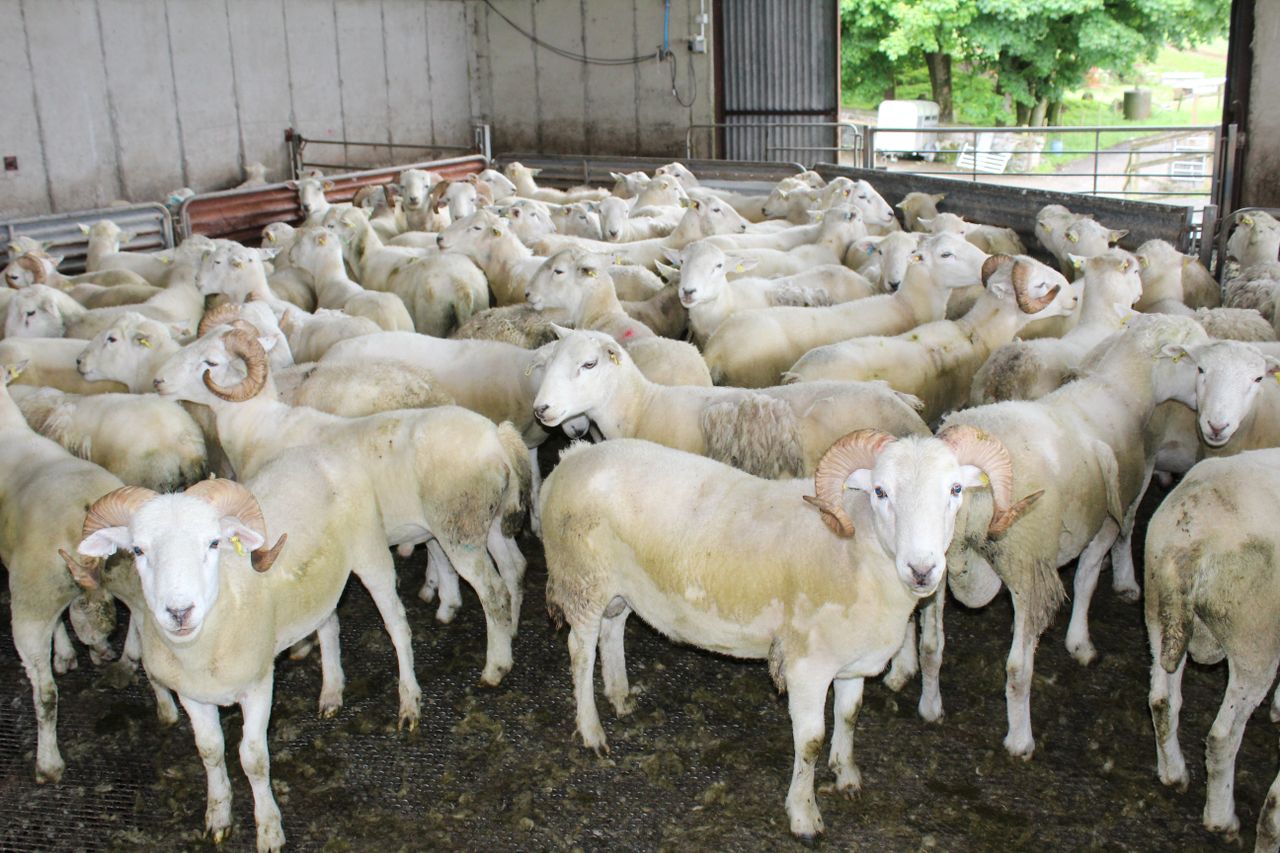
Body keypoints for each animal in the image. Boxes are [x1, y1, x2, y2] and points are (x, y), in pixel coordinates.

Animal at [67, 460, 421, 851]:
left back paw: (409, 703)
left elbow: (253, 759)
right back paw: (331, 691)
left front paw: (269, 830)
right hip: (320, 585)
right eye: (138, 550)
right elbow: (209, 750)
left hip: (371, 554)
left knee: (397, 628)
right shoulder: (192, 696)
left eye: (213, 542)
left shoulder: (258, 686)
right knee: (328, 625)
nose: (179, 612)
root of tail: (314, 451)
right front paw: (218, 817)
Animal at [153, 326, 531, 685]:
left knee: (493, 592)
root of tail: (497, 438)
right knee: (512, 568)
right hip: (489, 521)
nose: (157, 381)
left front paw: (303, 647)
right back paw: (511, 633)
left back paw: (495, 667)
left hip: (459, 529)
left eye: (211, 362)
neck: (258, 428)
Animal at [539, 425, 1036, 838]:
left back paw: (621, 696)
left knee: (613, 630)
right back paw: (592, 731)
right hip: (582, 580)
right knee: (580, 650)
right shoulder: (807, 665)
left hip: (620, 587)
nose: (922, 569)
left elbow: (850, 716)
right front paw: (804, 815)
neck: (854, 551)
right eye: (880, 491)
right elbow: (810, 740)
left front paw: (847, 774)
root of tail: (571, 457)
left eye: (955, 489)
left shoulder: (852, 662)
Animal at [931, 314, 1211, 757]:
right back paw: (1020, 740)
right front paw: (1080, 643)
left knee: (931, 645)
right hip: (1027, 562)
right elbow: (1087, 577)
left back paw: (930, 707)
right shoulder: (1109, 519)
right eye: (1197, 363)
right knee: (1017, 667)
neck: (1122, 391)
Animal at [1143, 449, 1280, 850]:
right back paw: (1222, 819)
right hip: (1254, 641)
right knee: (1223, 737)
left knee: (1162, 700)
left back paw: (1173, 773)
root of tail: (1188, 545)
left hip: (1158, 613)